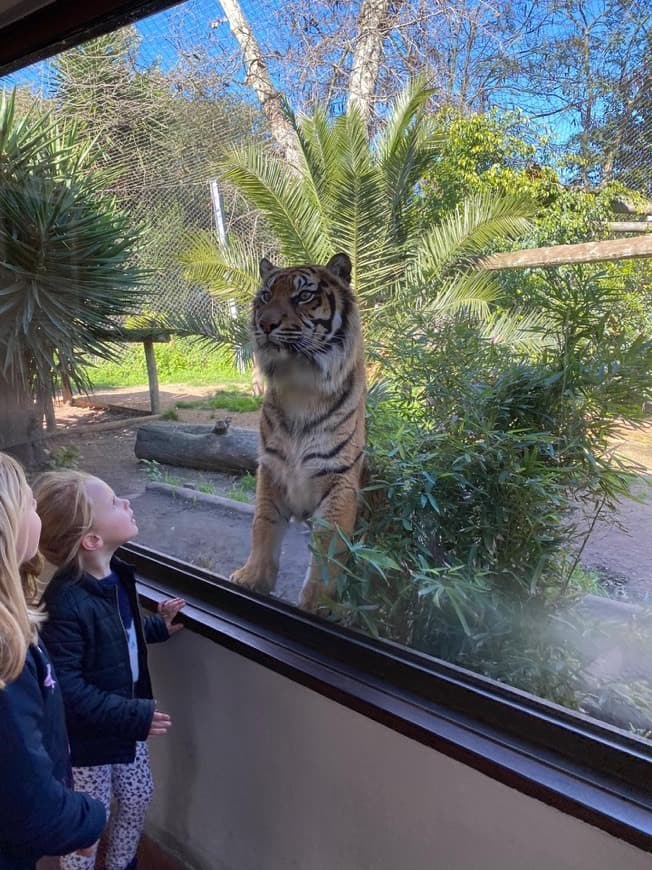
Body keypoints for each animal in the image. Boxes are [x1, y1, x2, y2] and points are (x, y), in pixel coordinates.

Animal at [229, 249, 364, 608]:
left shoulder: (339, 478)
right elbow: (263, 524)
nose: (265, 323)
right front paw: (253, 578)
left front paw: (318, 603)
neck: (300, 382)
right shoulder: (272, 468)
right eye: (265, 296)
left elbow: (330, 546)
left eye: (303, 296)